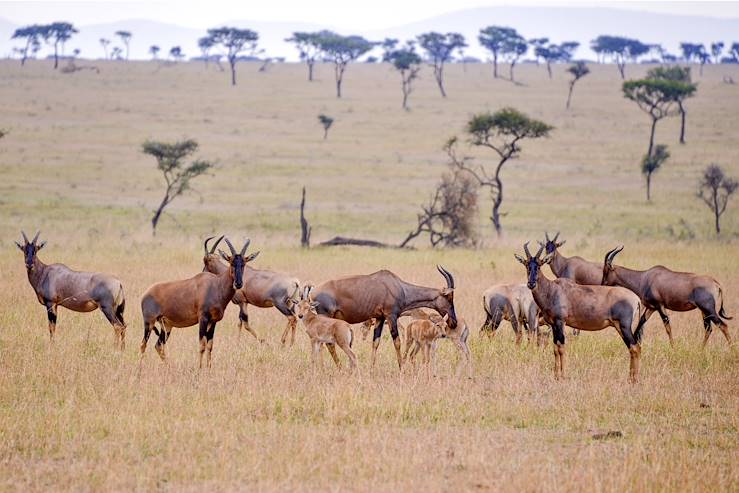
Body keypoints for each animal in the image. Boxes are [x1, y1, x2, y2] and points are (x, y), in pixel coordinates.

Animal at [140, 236, 258, 368]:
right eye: (231, 262)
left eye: (244, 264)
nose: (238, 283)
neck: (216, 285)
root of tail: (145, 294)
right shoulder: (203, 319)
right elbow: (202, 345)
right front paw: (200, 368)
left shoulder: (213, 321)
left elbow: (210, 345)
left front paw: (209, 368)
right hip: (149, 322)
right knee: (143, 344)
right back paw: (139, 369)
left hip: (166, 326)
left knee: (158, 345)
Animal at [306, 266, 456, 368]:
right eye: (449, 297)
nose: (454, 322)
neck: (398, 286)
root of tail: (312, 293)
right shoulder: (391, 316)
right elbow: (397, 342)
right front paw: (402, 368)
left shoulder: (380, 318)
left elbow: (375, 342)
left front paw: (371, 369)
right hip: (325, 317)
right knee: (328, 344)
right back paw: (337, 367)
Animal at [516, 242, 644, 384]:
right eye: (526, 264)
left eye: (539, 265)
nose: (531, 283)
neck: (553, 289)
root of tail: (636, 299)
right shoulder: (554, 325)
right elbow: (555, 349)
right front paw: (556, 376)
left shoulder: (560, 322)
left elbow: (561, 348)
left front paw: (563, 376)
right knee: (634, 348)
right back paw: (631, 378)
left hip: (624, 326)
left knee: (635, 347)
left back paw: (634, 380)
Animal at [604, 246, 732, 346]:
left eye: (606, 271)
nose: (602, 284)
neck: (645, 278)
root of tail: (716, 283)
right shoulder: (651, 308)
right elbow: (641, 322)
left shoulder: (660, 306)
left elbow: (668, 327)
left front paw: (673, 347)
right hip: (704, 311)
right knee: (708, 329)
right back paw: (701, 350)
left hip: (708, 309)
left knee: (723, 326)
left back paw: (732, 349)